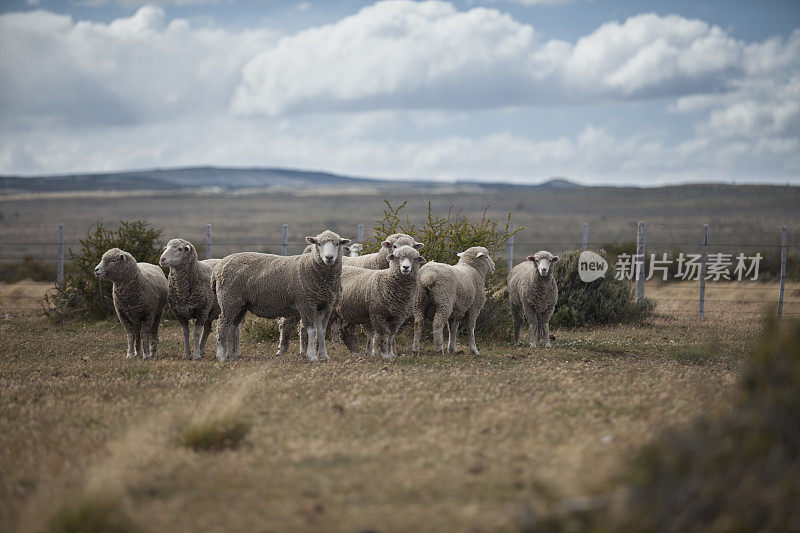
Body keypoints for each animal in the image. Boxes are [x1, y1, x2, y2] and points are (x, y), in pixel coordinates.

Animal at [212, 230, 350, 362]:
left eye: (337, 243)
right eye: (319, 243)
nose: (329, 257)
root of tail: (219, 266)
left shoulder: (326, 306)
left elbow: (321, 332)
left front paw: (324, 356)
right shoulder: (306, 303)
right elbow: (311, 330)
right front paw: (312, 356)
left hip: (240, 304)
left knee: (231, 326)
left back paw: (231, 355)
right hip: (229, 299)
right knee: (222, 325)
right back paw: (221, 356)